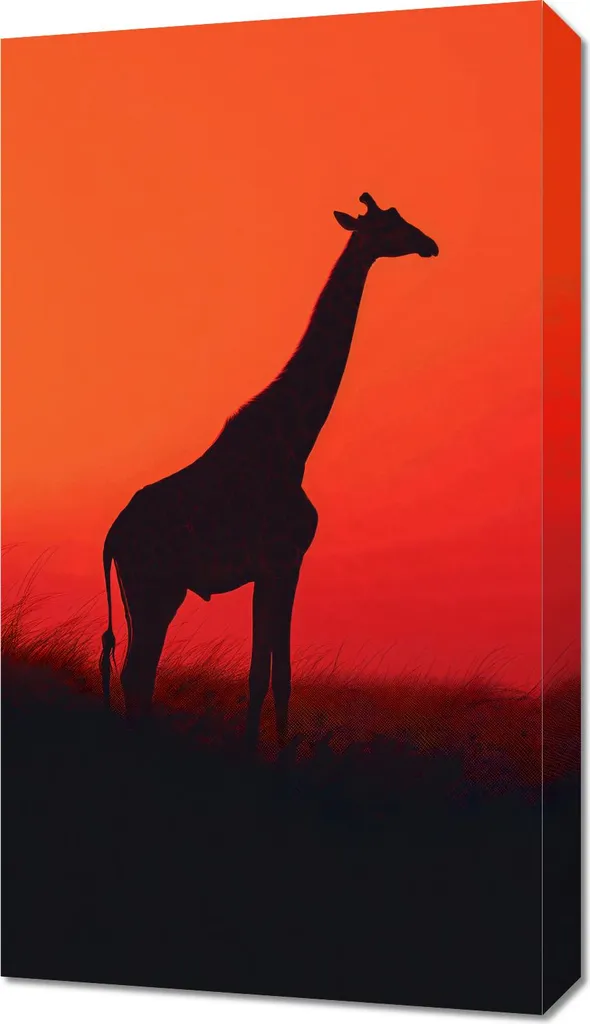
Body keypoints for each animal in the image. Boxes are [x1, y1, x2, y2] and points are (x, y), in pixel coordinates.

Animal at [99, 192, 438, 745]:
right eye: (390, 225)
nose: (430, 243)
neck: (296, 445)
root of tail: (111, 536)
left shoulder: (274, 568)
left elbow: (275, 675)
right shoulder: (284, 560)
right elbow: (269, 676)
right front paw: (263, 757)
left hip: (146, 592)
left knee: (136, 675)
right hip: (155, 589)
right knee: (135, 674)